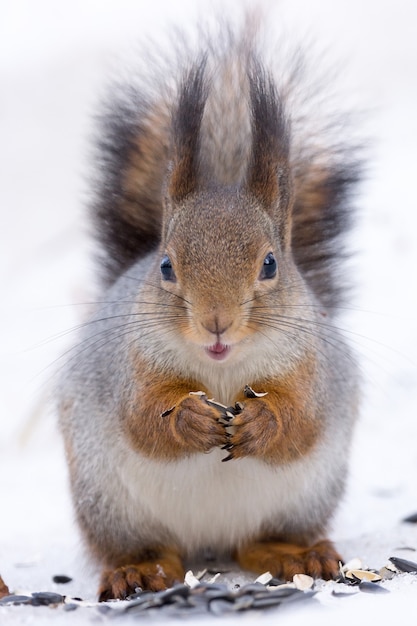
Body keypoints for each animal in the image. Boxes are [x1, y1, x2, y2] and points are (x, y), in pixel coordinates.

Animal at [57, 15, 360, 600]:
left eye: (270, 264)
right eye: (166, 266)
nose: (216, 323)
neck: (221, 371)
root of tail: (210, 544)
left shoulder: (313, 368)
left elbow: (301, 420)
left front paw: (263, 422)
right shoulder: (129, 366)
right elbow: (143, 418)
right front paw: (188, 418)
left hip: (305, 497)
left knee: (259, 542)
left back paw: (297, 555)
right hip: (109, 504)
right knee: (148, 550)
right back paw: (138, 571)